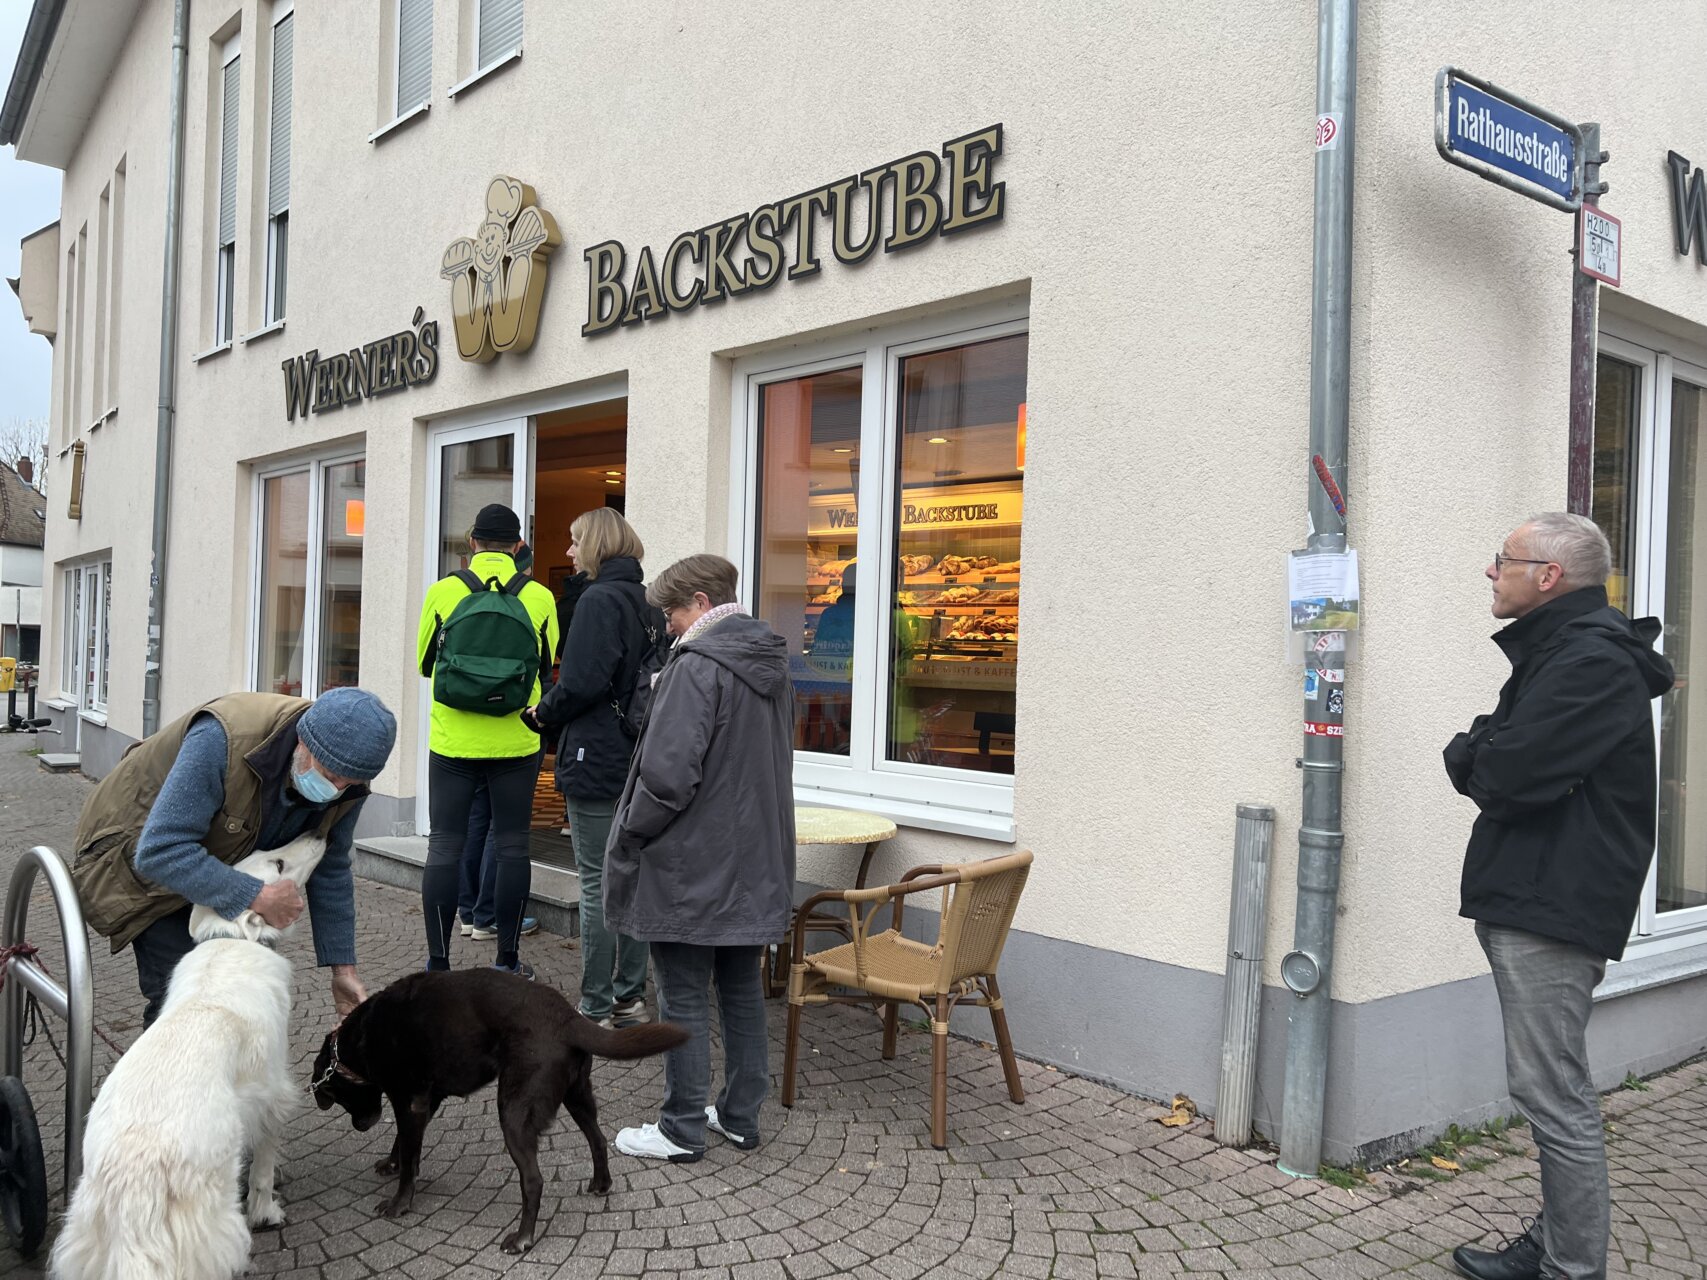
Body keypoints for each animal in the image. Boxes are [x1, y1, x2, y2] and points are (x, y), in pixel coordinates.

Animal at [53, 836, 326, 1276]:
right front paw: (267, 1213)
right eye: (279, 863)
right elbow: (263, 1172)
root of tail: (136, 1184)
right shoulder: (273, 1097)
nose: (318, 836)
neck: (232, 941)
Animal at [310, 969, 682, 1256]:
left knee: (533, 1180)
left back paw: (522, 1238)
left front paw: (399, 1203)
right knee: (599, 1140)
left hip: (513, 1111)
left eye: (338, 1098)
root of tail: (567, 1018)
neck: (362, 1037)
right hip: (577, 1096)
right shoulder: (424, 1102)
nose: (362, 1125)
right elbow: (402, 1142)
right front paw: (392, 1163)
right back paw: (601, 1184)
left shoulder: (409, 1101)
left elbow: (409, 1158)